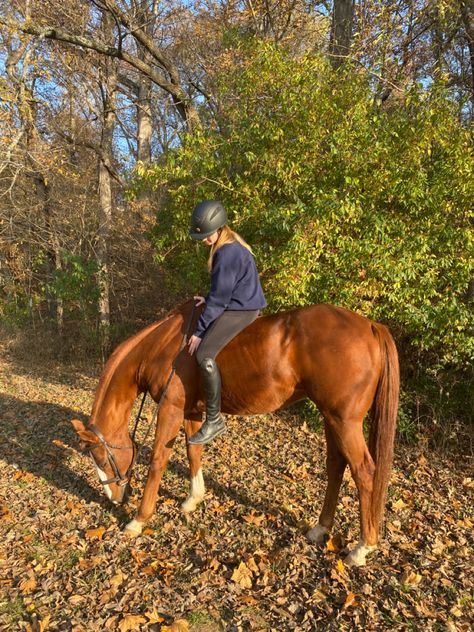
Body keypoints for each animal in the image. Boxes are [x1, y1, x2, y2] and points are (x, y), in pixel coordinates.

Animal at [72, 298, 398, 564]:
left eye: (100, 458)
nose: (113, 498)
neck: (164, 346)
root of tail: (371, 326)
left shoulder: (171, 409)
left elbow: (157, 462)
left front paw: (138, 520)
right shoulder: (192, 411)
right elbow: (194, 450)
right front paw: (194, 498)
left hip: (345, 422)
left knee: (364, 472)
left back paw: (362, 548)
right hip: (332, 418)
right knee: (336, 467)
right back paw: (321, 529)